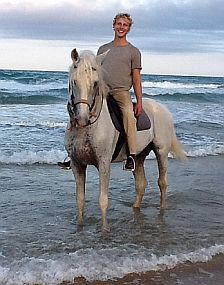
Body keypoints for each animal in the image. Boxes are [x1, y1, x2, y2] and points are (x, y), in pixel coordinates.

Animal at [64, 48, 186, 231]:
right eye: (74, 81)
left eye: (95, 83)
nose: (82, 119)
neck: (89, 128)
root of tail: (163, 109)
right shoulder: (77, 165)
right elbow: (79, 201)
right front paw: (80, 228)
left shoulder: (103, 163)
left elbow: (103, 200)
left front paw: (104, 231)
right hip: (139, 156)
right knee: (141, 184)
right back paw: (136, 211)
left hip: (161, 152)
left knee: (162, 182)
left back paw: (162, 212)